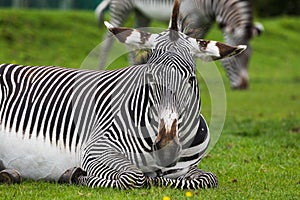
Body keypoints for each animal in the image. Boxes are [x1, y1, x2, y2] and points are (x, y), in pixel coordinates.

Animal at [96, 0, 262, 89]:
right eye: (234, 60)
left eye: (250, 57)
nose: (243, 87)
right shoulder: (190, 14)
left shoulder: (205, 22)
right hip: (122, 5)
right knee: (108, 39)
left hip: (141, 12)